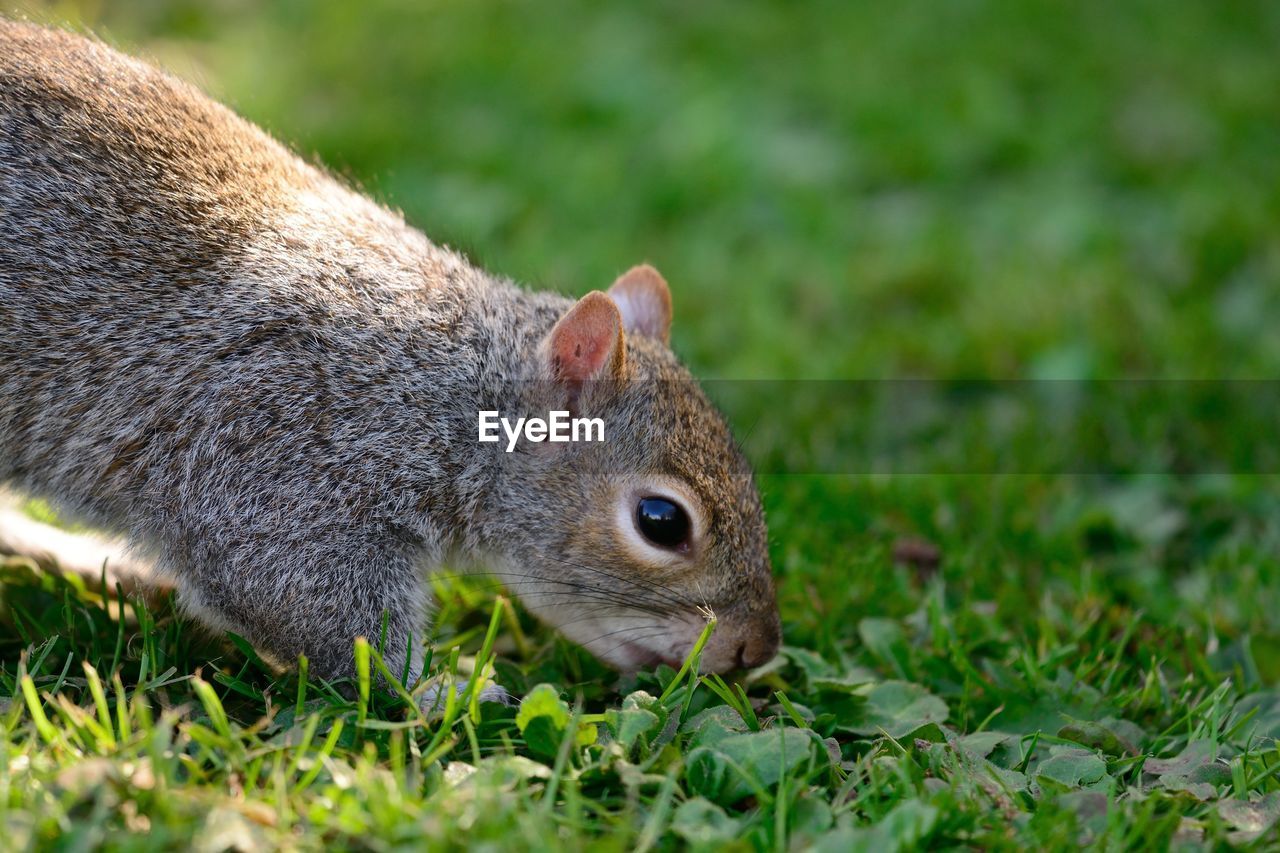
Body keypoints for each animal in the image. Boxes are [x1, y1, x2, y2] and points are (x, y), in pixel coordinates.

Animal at [0, 23, 778, 696]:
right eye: (661, 521)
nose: (757, 649)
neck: (448, 386)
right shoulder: (275, 450)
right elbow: (306, 602)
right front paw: (438, 689)